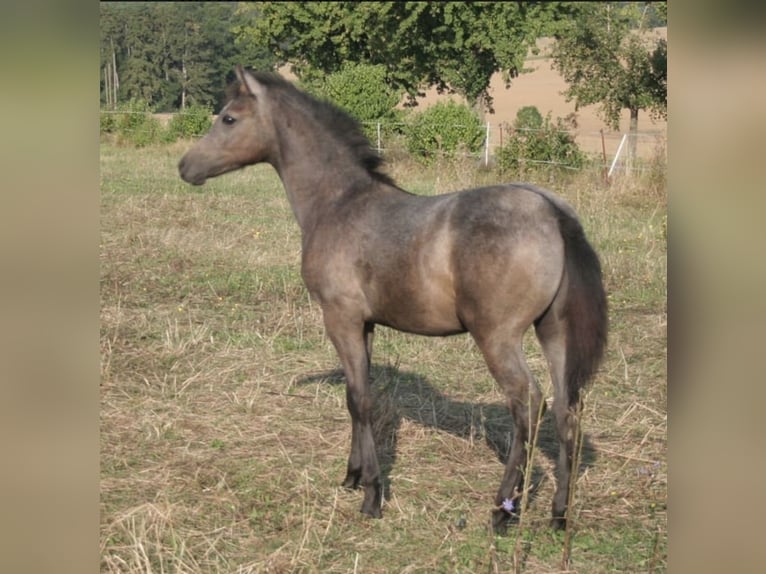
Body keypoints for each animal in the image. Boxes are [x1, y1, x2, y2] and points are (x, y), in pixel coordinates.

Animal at [178, 67, 608, 536]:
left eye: (229, 118)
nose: (185, 166)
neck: (338, 203)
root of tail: (551, 210)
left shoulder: (341, 318)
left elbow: (360, 400)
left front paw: (372, 494)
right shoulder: (364, 325)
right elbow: (357, 394)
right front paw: (351, 476)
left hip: (498, 337)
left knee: (528, 405)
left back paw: (502, 510)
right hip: (553, 331)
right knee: (567, 409)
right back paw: (559, 514)